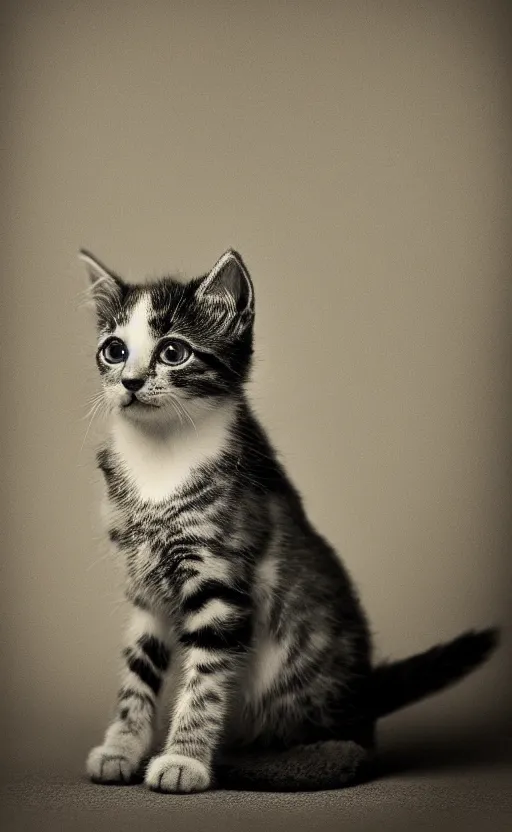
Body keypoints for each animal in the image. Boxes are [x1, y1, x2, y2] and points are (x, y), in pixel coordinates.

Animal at [81, 249, 500, 792]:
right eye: (114, 351)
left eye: (173, 352)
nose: (129, 382)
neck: (160, 457)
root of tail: (363, 694)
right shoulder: (144, 591)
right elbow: (136, 674)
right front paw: (121, 749)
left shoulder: (221, 585)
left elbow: (204, 682)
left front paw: (183, 761)